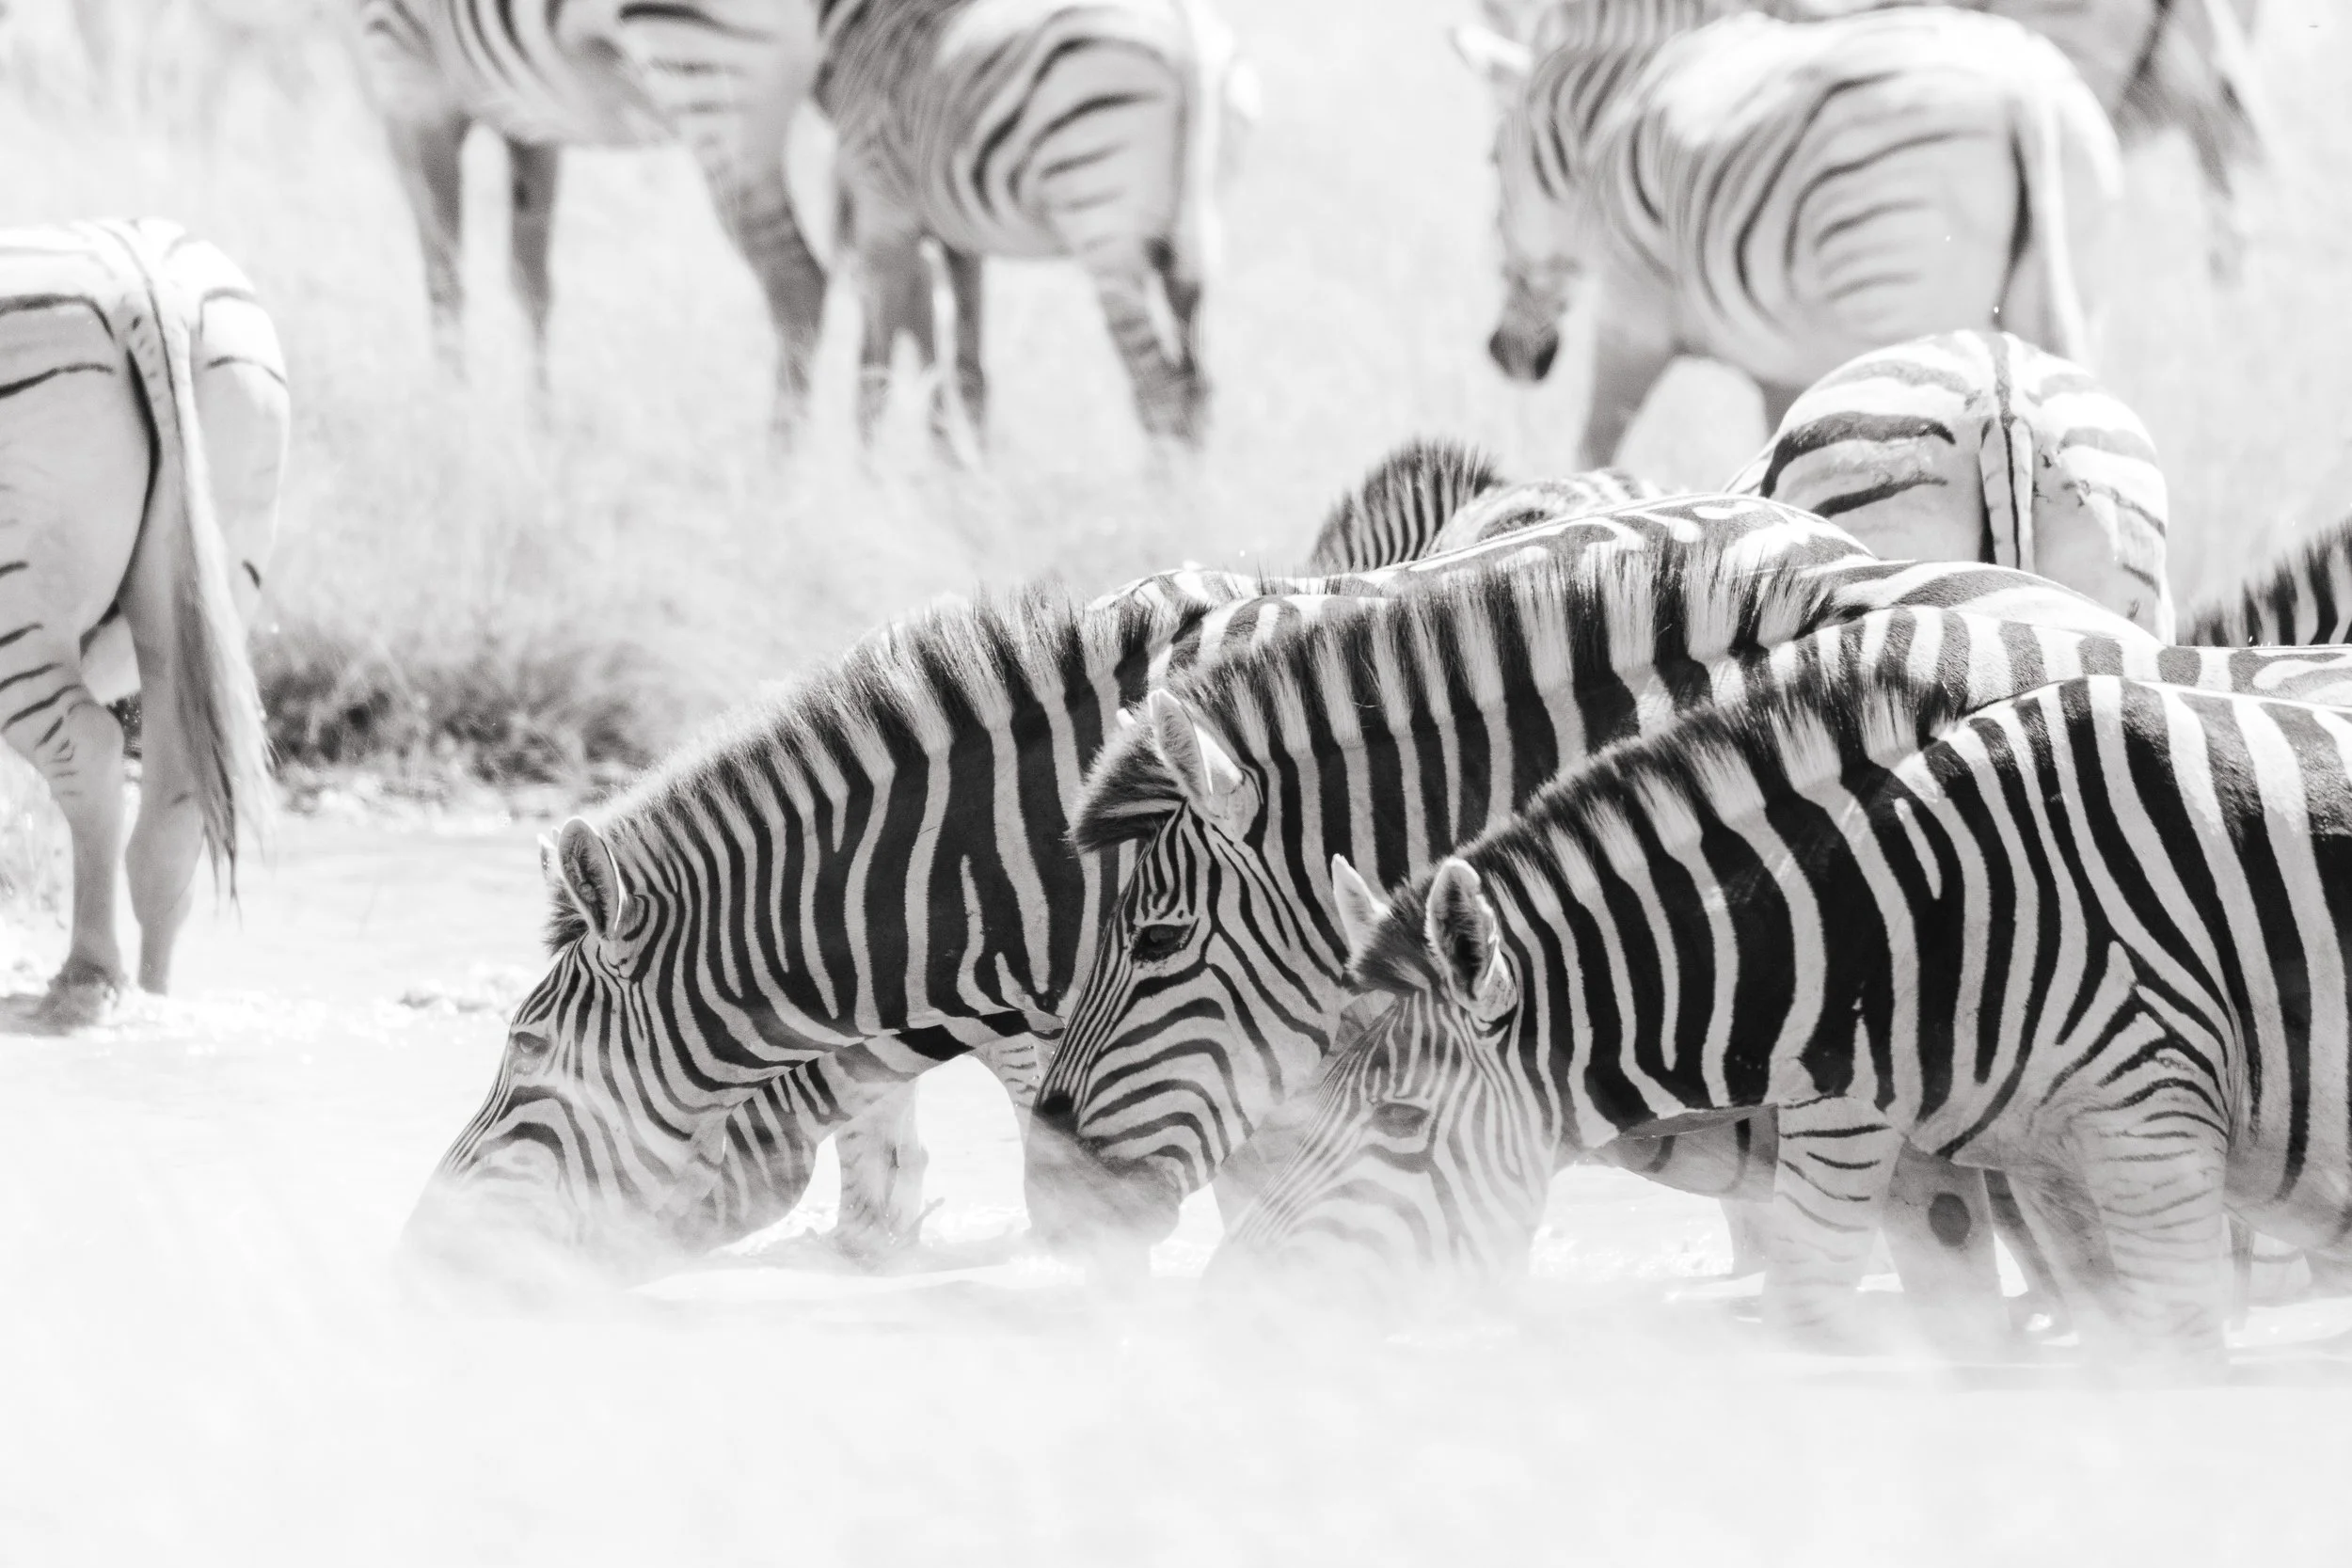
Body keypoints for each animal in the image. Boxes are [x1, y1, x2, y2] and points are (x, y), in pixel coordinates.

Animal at [0, 219, 285, 1026]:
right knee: (176, 798)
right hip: (198, 592)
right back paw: (152, 994)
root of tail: (147, 285)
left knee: (91, 754)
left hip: (17, 606)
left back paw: (87, 978)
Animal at [349, 0, 830, 422]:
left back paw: (778, 462)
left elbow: (443, 279)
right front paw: (539, 426)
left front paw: (450, 413)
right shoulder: (527, 111)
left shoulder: (406, 79)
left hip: (707, 75)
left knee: (795, 279)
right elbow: (530, 283)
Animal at [813, 0, 1256, 452]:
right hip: (1187, 231)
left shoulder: (881, 208)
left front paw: (873, 467)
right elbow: (966, 367)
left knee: (1161, 389)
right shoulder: (958, 236)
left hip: (1104, 224)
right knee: (1194, 386)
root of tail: (1188, 39)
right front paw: (970, 467)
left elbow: (873, 369)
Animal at [1453, 4, 2119, 470]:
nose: (1504, 355)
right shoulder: (1783, 370)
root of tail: (2022, 89)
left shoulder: (1630, 313)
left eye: (1490, 160)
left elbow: (1594, 448)